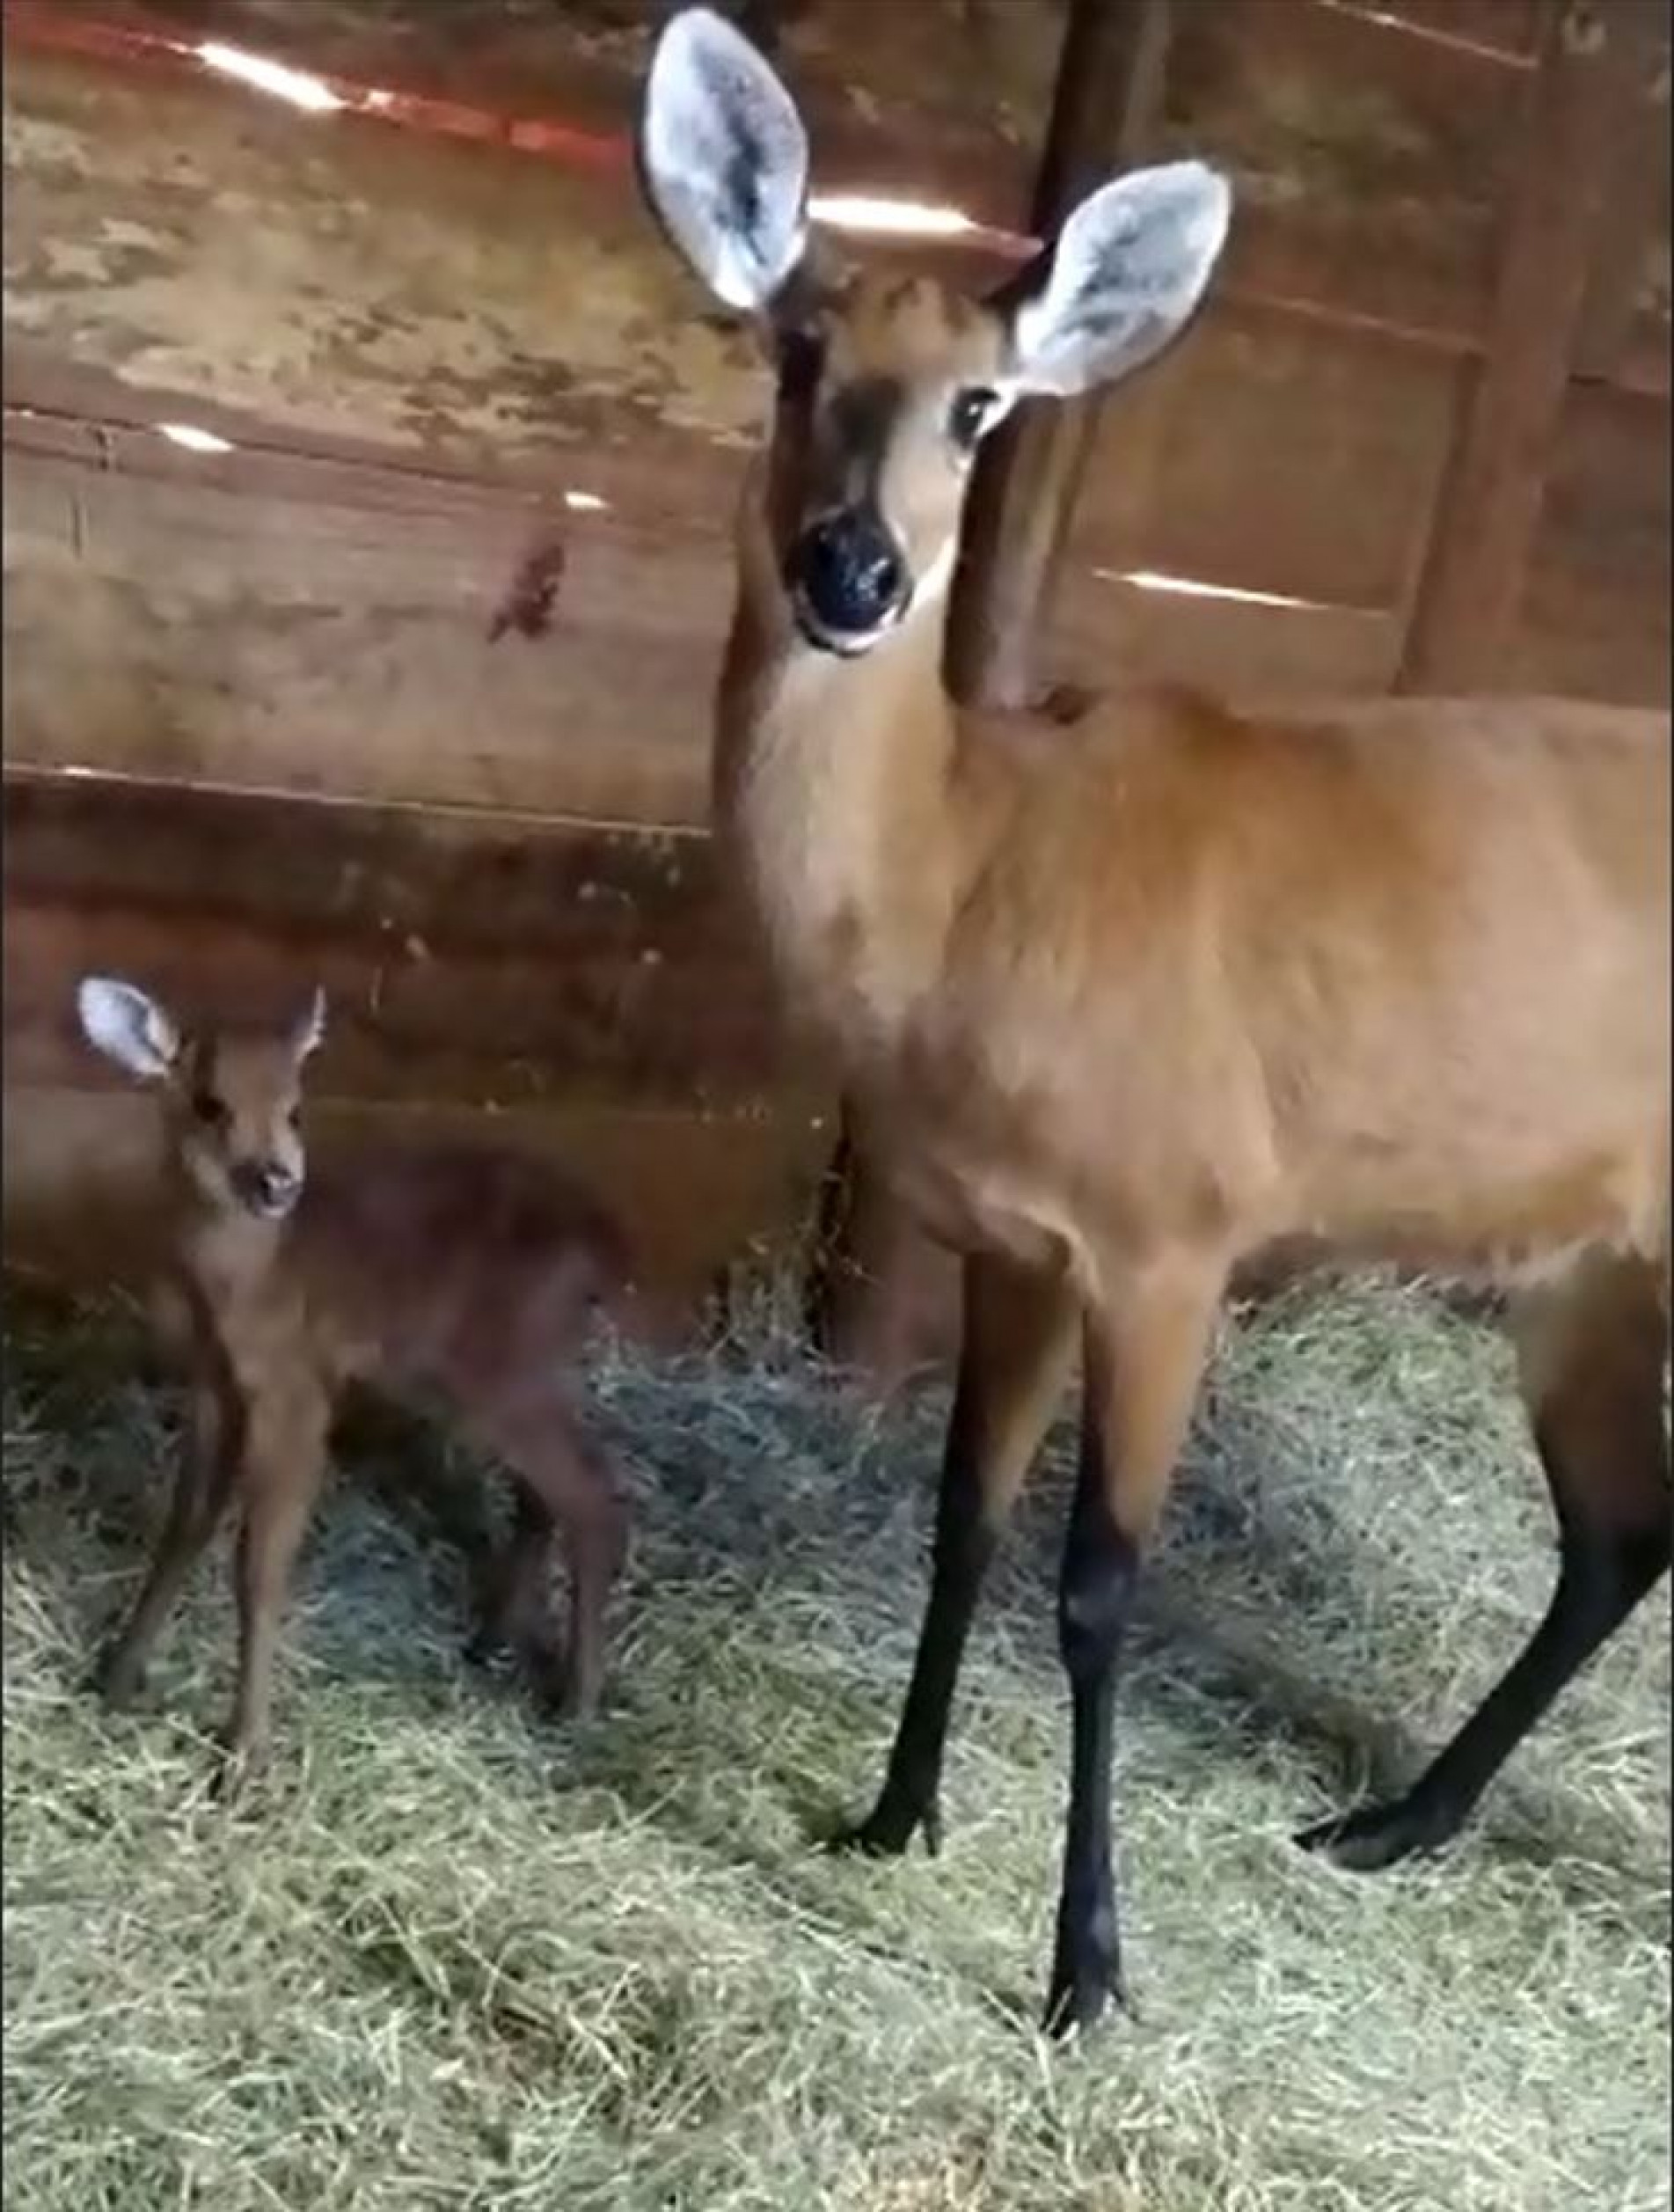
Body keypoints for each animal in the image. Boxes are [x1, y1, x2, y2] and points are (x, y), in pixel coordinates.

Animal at [632, 8, 1663, 2025]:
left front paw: (1086, 1967)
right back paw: (1389, 1822)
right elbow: (963, 1517)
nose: (852, 572)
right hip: (1585, 1263)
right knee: (1614, 1532)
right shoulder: (1012, 1243)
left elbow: (1098, 1585)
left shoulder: (1175, 1230)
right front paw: (888, 1816)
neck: (967, 882)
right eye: (796, 352)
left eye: (979, 407)